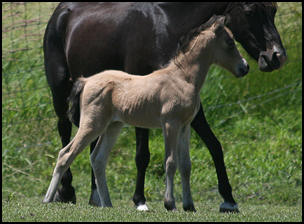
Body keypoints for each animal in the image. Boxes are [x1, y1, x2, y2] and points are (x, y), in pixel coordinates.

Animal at [44, 1, 286, 212]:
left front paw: (190, 205)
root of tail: (86, 81)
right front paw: (169, 204)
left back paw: (106, 203)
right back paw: (52, 198)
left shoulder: (185, 125)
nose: (245, 67)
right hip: (87, 120)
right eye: (229, 42)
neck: (181, 77)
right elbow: (169, 162)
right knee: (65, 151)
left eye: (273, 11)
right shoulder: (169, 123)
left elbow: (187, 164)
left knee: (97, 158)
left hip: (112, 126)